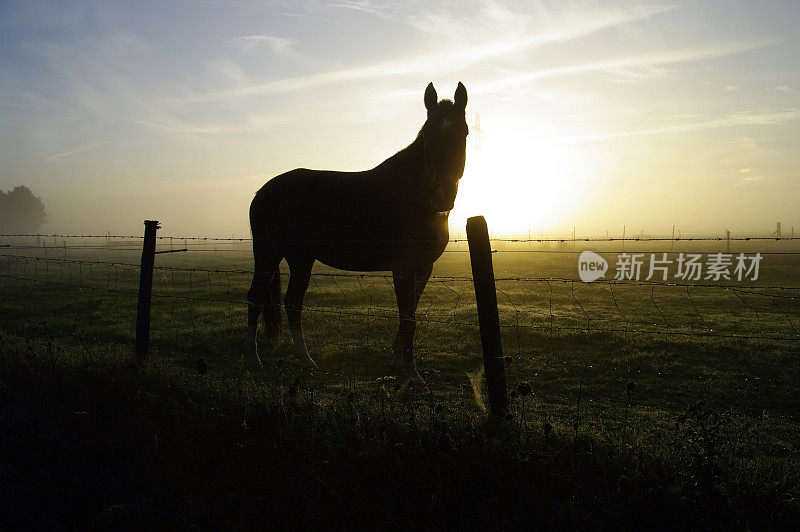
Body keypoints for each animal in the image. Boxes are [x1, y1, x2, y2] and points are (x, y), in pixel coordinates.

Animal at [247, 82, 466, 382]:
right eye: (428, 137)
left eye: (463, 132)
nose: (442, 195)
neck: (410, 196)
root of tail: (263, 191)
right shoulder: (404, 268)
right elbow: (408, 318)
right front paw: (412, 373)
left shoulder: (423, 268)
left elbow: (408, 315)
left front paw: (398, 362)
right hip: (267, 254)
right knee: (255, 298)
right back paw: (253, 360)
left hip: (300, 258)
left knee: (293, 302)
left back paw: (306, 360)